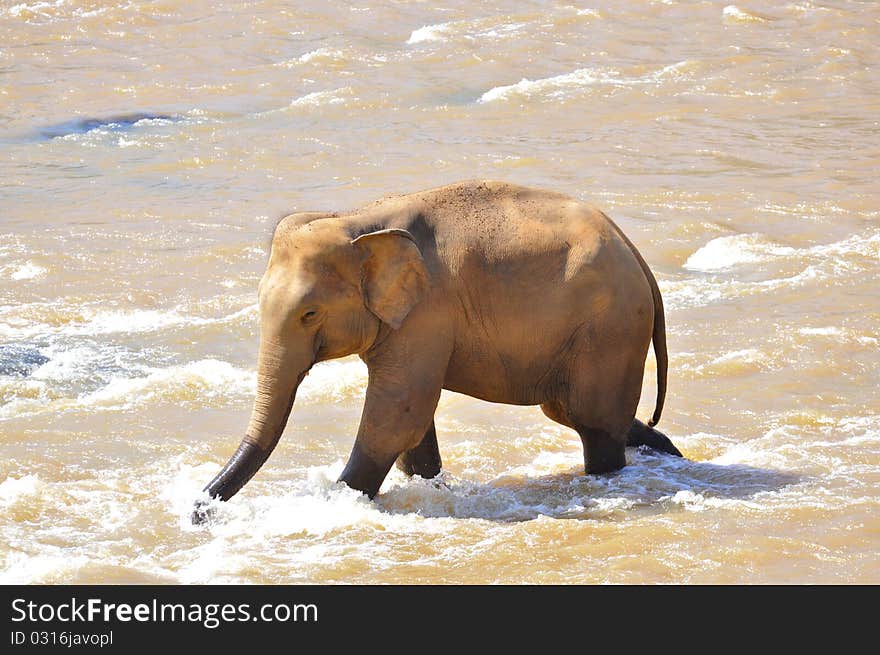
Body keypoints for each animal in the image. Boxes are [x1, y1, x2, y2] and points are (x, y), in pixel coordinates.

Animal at [196, 179, 684, 524]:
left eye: (309, 313)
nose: (199, 512)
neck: (358, 219)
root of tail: (636, 256)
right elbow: (413, 423)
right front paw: (430, 484)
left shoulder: (427, 312)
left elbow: (396, 415)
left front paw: (337, 502)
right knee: (577, 414)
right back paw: (667, 452)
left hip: (609, 331)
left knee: (593, 425)